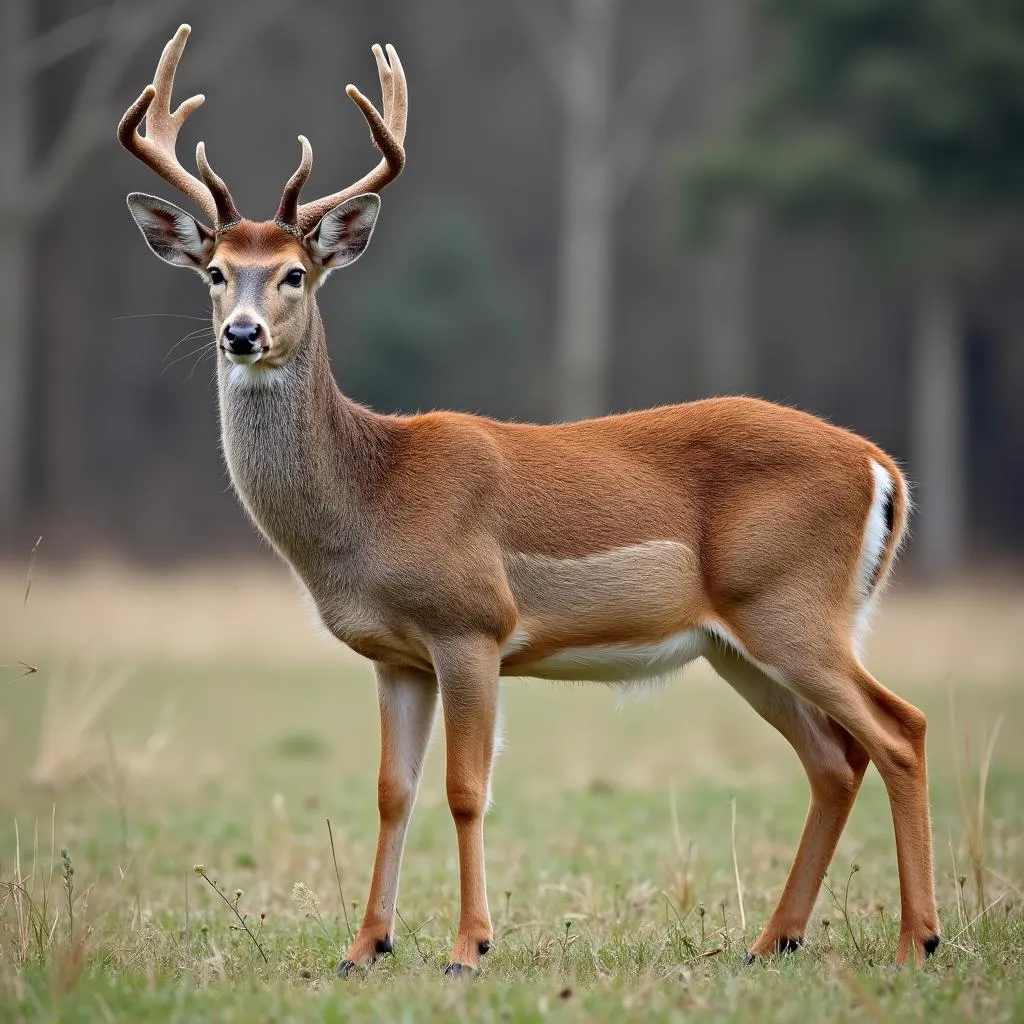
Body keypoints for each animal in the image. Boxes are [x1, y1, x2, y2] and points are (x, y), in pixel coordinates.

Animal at [119, 24, 942, 974]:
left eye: (294, 274)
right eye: (215, 271)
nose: (241, 334)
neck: (372, 497)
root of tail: (882, 467)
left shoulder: (472, 624)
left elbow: (465, 788)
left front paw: (468, 947)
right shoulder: (395, 656)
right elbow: (393, 791)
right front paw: (365, 947)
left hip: (793, 605)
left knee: (899, 729)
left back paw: (917, 938)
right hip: (737, 641)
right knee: (834, 759)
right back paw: (774, 940)